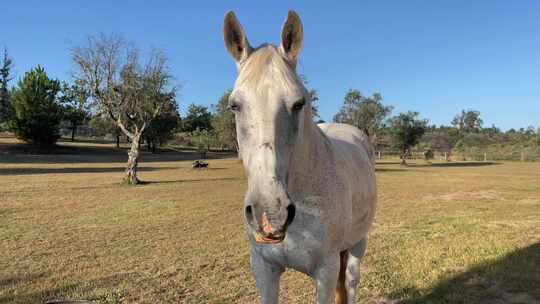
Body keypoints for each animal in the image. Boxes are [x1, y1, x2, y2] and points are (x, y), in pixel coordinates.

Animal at [221, 10, 378, 302]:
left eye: (298, 103)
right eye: (234, 105)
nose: (269, 214)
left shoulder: (326, 271)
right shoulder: (264, 269)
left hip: (357, 244)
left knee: (351, 282)